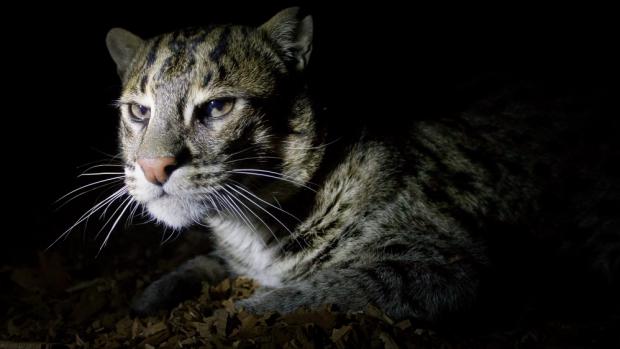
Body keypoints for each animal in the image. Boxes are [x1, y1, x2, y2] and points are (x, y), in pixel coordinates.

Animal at [104, 6, 616, 320]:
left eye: (217, 108)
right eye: (139, 112)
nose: (152, 167)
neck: (250, 225)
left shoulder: (443, 262)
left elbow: (321, 289)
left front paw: (240, 313)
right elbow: (203, 264)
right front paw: (151, 294)